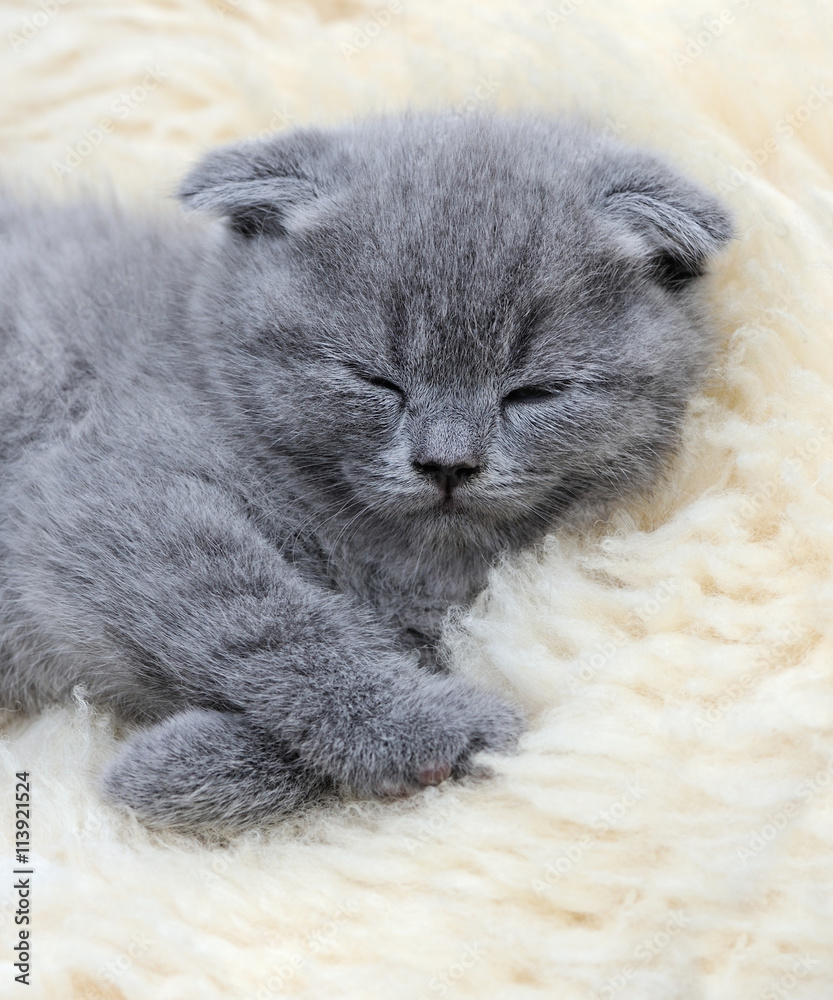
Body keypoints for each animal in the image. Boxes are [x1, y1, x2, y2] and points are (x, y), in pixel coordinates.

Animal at [0, 113, 728, 828]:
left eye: (534, 393)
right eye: (374, 379)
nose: (447, 463)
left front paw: (175, 764)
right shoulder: (111, 499)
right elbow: (271, 623)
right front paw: (429, 726)